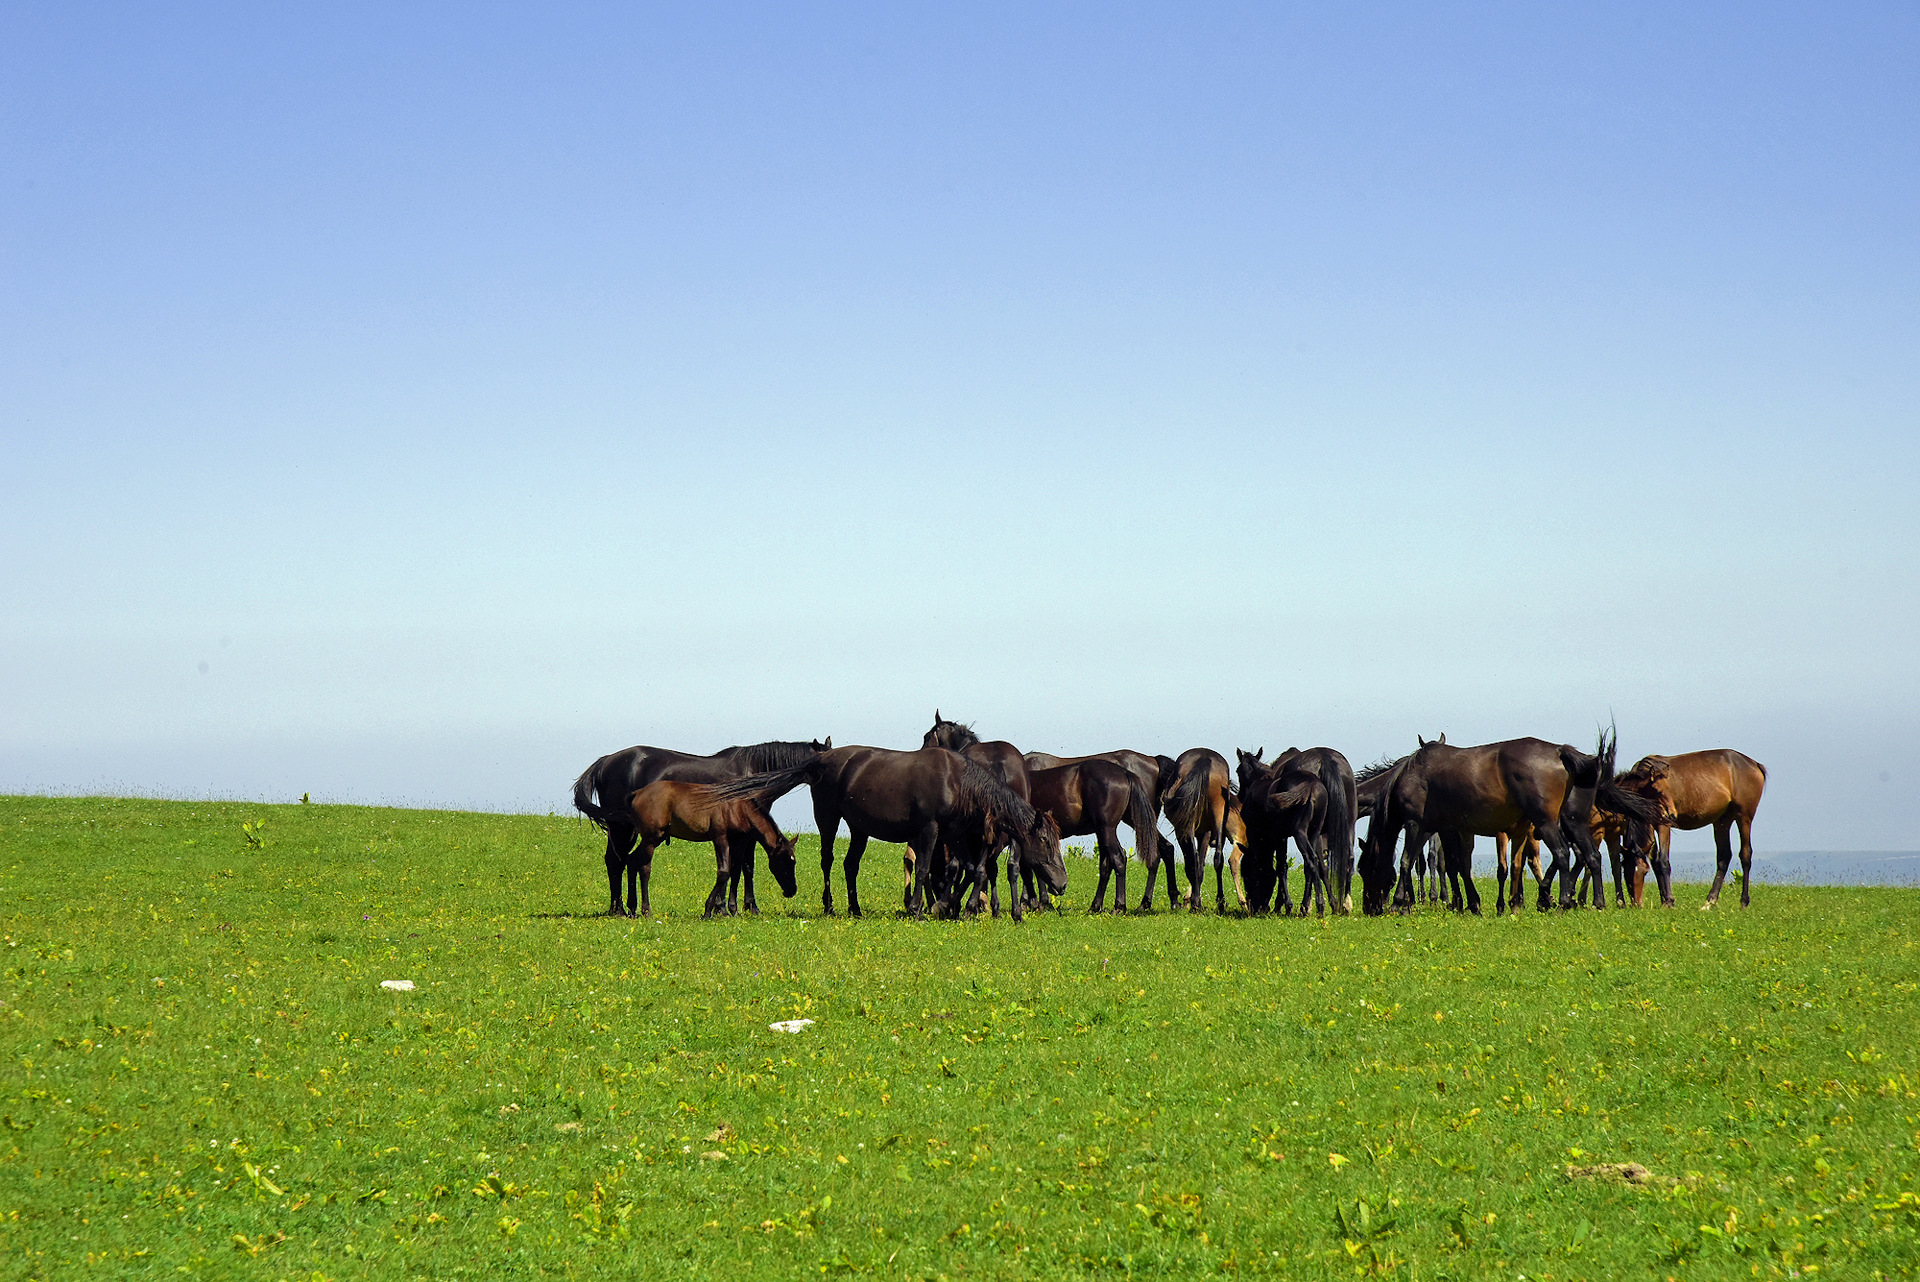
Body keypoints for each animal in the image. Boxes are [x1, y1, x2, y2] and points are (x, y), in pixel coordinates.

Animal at [618, 775, 791, 917]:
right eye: (785, 861)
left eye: (793, 861)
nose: (792, 890)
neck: (737, 807)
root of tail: (637, 793)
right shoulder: (720, 837)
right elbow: (724, 872)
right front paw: (709, 910)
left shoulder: (738, 841)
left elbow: (735, 872)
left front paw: (732, 910)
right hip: (651, 839)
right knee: (644, 868)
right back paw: (646, 910)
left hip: (655, 839)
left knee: (632, 861)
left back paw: (632, 908)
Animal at [710, 744, 1067, 917]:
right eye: (1046, 841)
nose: (1062, 884)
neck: (955, 780)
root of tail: (820, 759)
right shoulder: (930, 830)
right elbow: (924, 869)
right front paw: (920, 909)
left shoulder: (953, 833)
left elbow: (967, 869)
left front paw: (949, 907)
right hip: (828, 819)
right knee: (828, 861)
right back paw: (830, 906)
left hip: (859, 828)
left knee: (850, 865)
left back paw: (854, 909)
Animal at [1152, 744, 1228, 917]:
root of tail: (1205, 758)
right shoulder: (1205, 833)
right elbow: (1201, 866)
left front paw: (1193, 901)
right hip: (1217, 815)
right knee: (1218, 858)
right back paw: (1219, 903)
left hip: (1185, 829)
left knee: (1192, 861)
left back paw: (1197, 903)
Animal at [1620, 752, 1766, 909]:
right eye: (1625, 871)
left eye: (1644, 871)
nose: (1636, 903)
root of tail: (1754, 764)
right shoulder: (1651, 826)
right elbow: (1655, 863)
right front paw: (1664, 900)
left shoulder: (1663, 825)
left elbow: (1663, 861)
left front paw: (1669, 901)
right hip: (1722, 821)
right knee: (1724, 857)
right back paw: (1709, 902)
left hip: (1744, 817)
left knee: (1745, 854)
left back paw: (1743, 901)